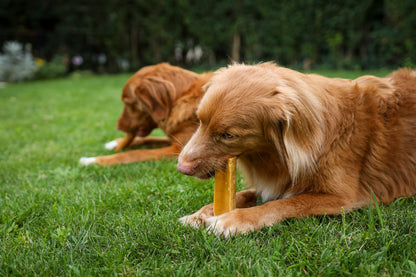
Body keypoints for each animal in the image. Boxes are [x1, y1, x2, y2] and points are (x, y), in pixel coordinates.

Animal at [80, 62, 213, 165]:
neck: (180, 99)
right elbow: (149, 139)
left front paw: (92, 160)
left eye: (127, 103)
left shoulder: (180, 149)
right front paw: (114, 143)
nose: (117, 127)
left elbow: (135, 153)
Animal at [178, 62, 416, 237]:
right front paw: (201, 214)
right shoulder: (277, 181)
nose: (181, 168)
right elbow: (244, 194)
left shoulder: (342, 198)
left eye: (229, 135)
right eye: (199, 121)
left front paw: (233, 220)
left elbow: (285, 204)